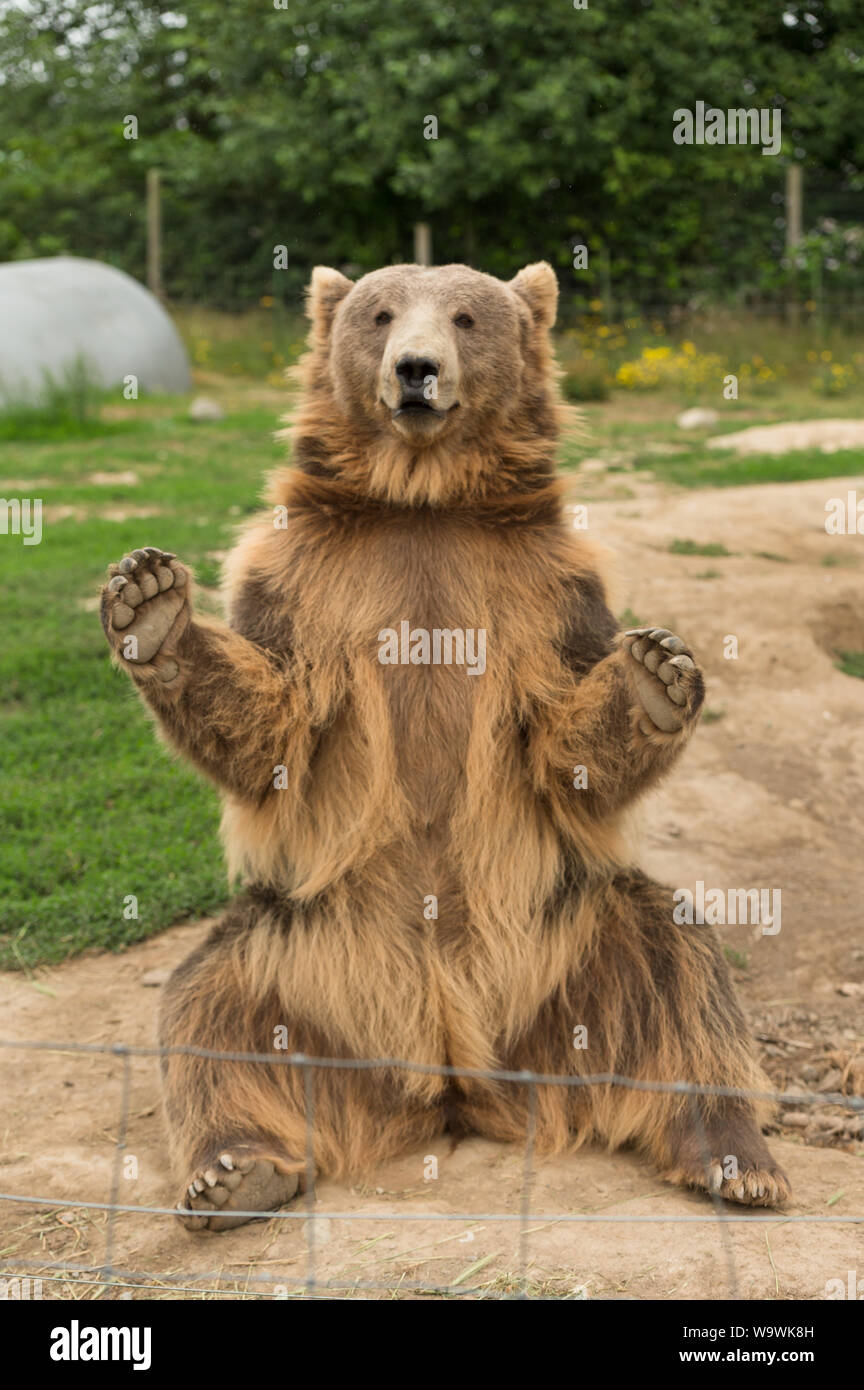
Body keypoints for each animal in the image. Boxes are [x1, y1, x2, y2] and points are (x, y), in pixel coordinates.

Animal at [99, 260, 790, 1231]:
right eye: (381, 313)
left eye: (465, 316)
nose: (415, 369)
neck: (424, 500)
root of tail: (452, 1068)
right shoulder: (305, 578)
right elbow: (271, 725)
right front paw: (150, 600)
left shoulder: (546, 587)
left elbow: (564, 746)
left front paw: (658, 671)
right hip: (300, 941)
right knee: (209, 1010)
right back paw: (233, 1171)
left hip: (569, 932)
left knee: (681, 974)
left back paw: (735, 1154)